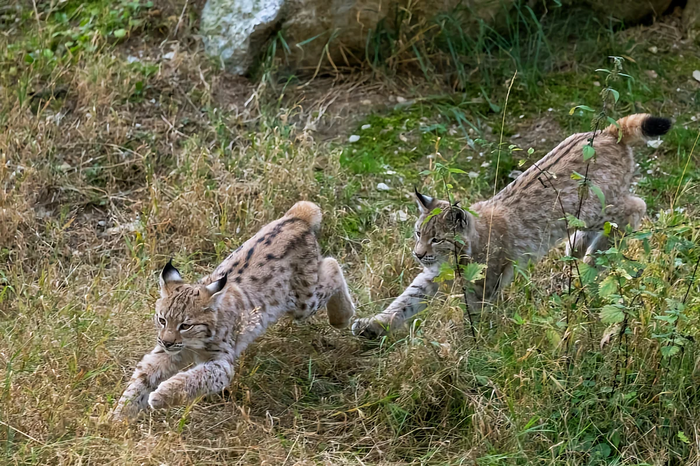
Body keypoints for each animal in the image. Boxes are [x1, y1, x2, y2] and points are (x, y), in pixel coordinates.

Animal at [115, 202, 358, 420]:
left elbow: (194, 378)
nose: (166, 341)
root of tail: (295, 218)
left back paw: (342, 317)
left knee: (332, 264)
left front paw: (161, 395)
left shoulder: (221, 363)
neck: (192, 343)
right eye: (162, 320)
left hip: (302, 302)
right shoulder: (166, 353)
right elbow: (141, 378)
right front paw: (118, 416)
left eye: (185, 325)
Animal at [356, 113, 672, 338]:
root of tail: (605, 132)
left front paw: (472, 342)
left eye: (437, 239)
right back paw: (577, 250)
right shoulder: (434, 273)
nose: (418, 255)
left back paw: (592, 259)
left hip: (596, 206)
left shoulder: (484, 281)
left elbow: (475, 313)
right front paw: (374, 324)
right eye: (418, 233)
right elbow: (406, 300)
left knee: (635, 207)